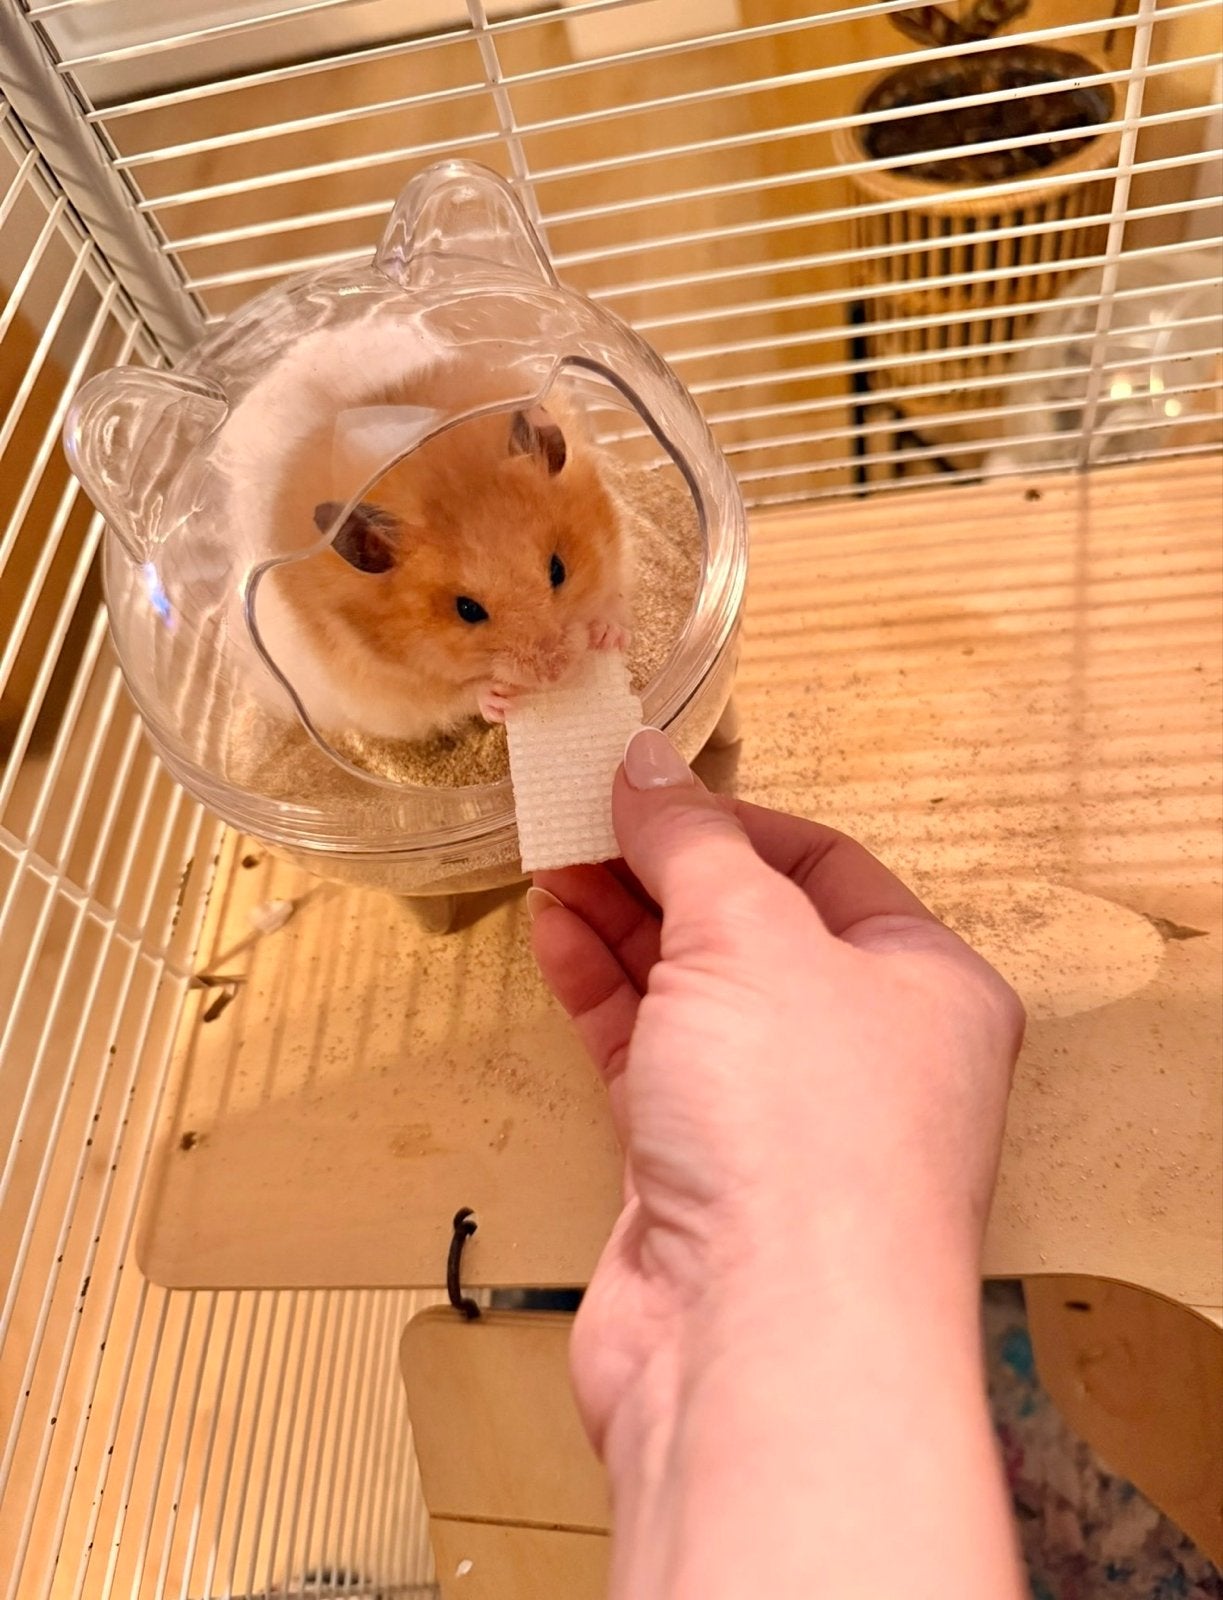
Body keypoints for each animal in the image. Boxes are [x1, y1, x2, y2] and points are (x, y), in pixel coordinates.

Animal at [259, 402, 632, 744]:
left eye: (558, 570)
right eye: (467, 610)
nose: (555, 673)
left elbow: (613, 594)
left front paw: (608, 634)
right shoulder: (397, 691)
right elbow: (459, 696)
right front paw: (499, 699)